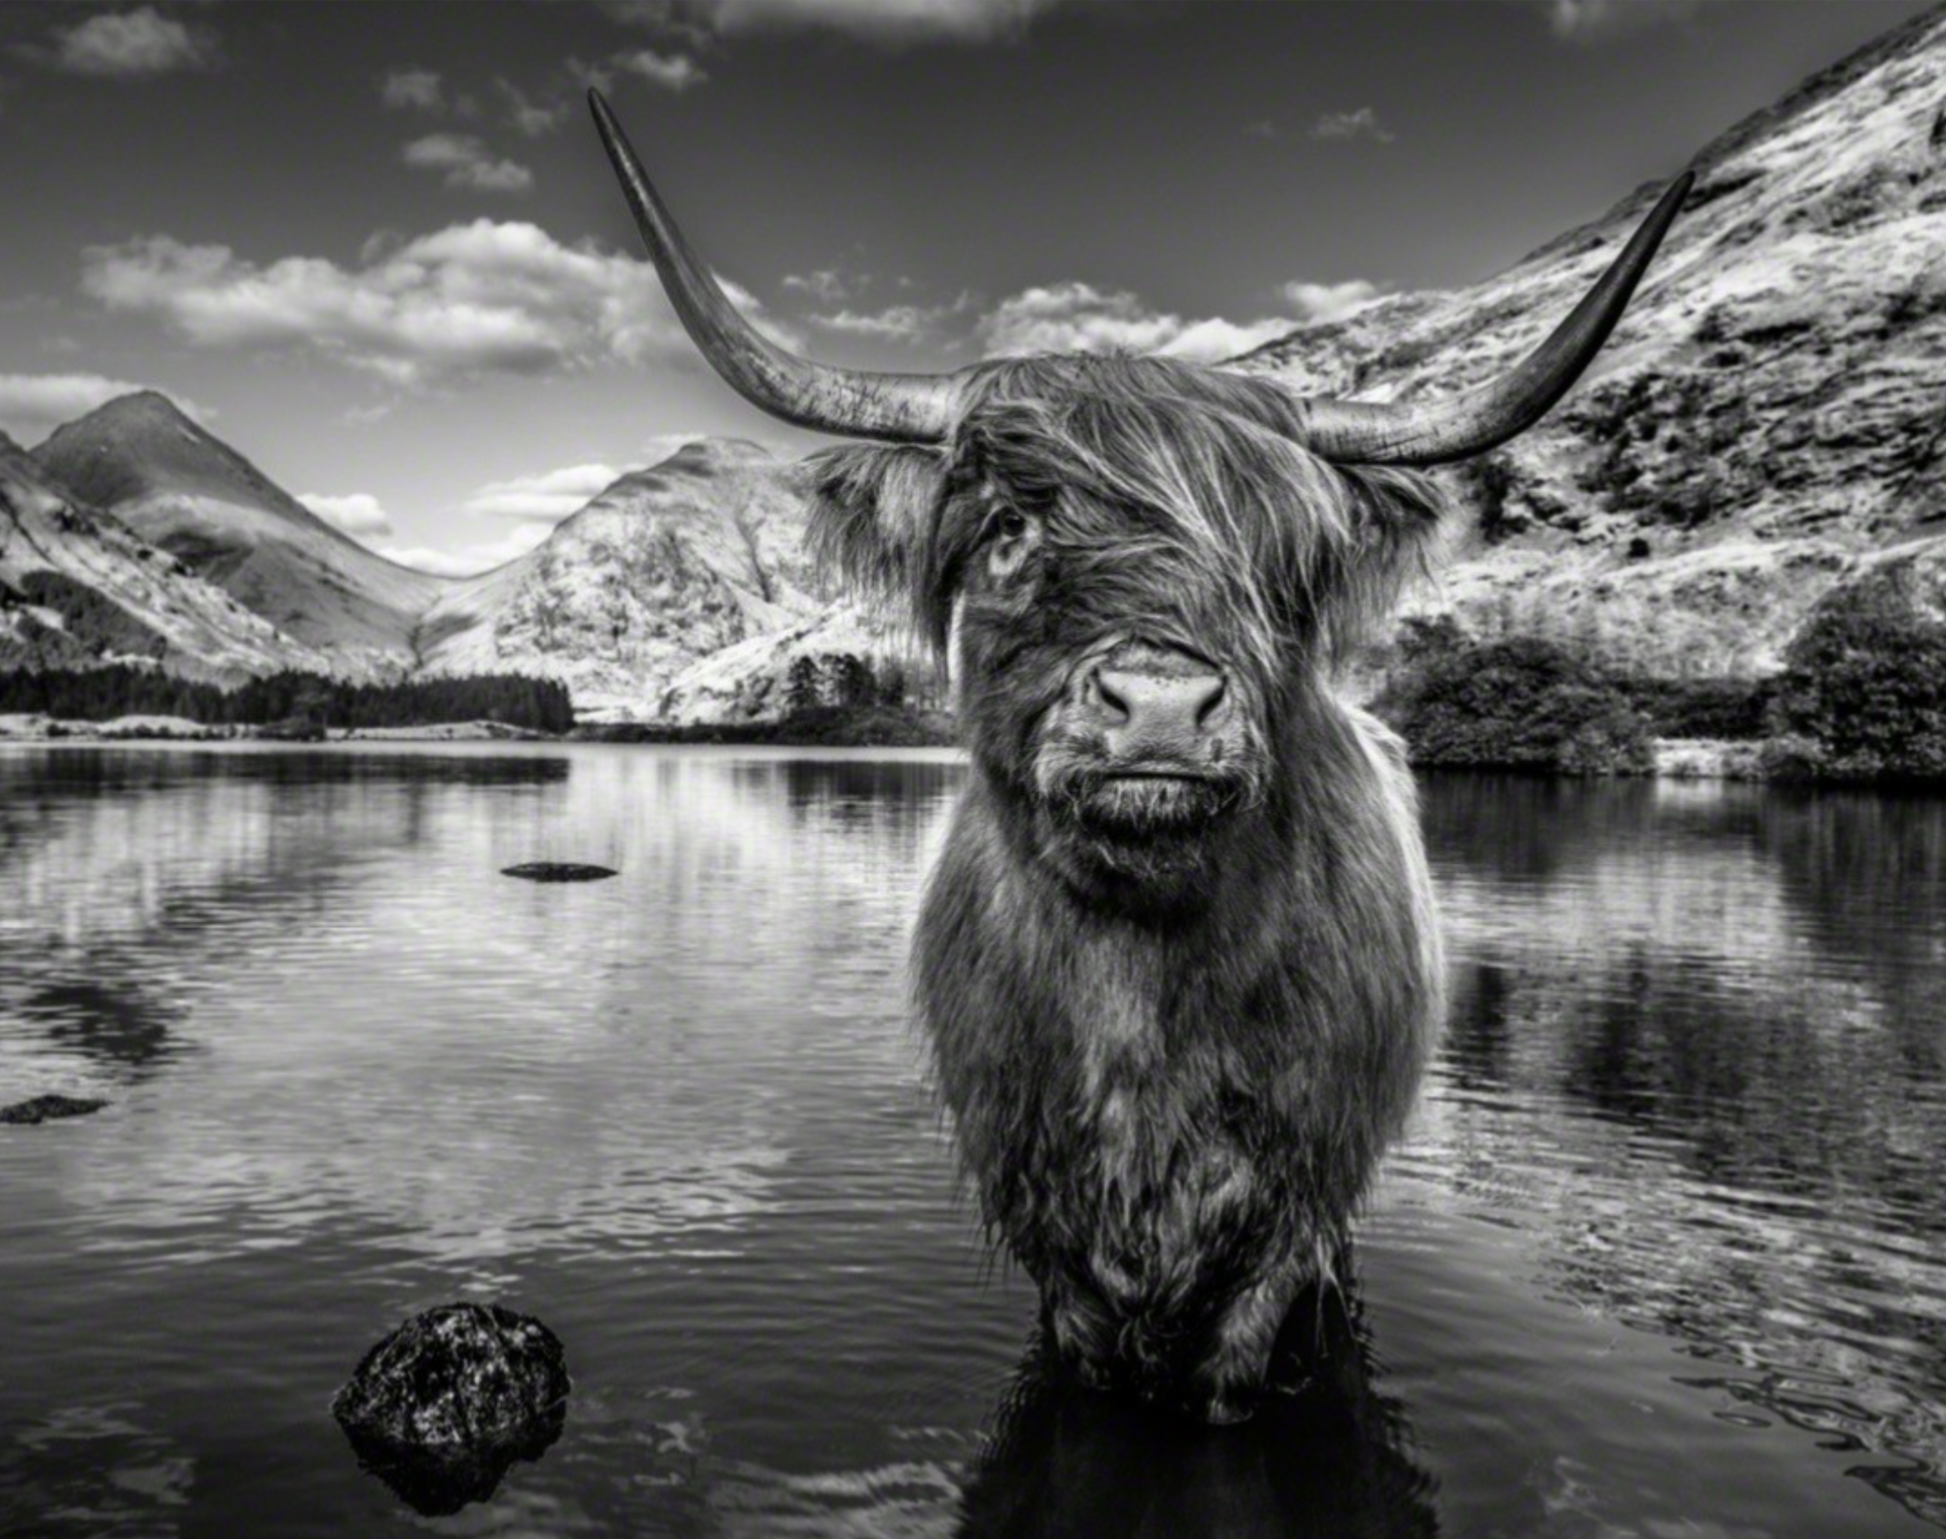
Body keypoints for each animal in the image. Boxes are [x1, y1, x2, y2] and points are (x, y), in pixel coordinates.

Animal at [587, 90, 1689, 1424]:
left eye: (1284, 564)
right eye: (1009, 530)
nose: (1160, 708)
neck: (1141, 993)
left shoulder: (1290, 1213)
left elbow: (1234, 1370)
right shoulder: (1043, 1225)